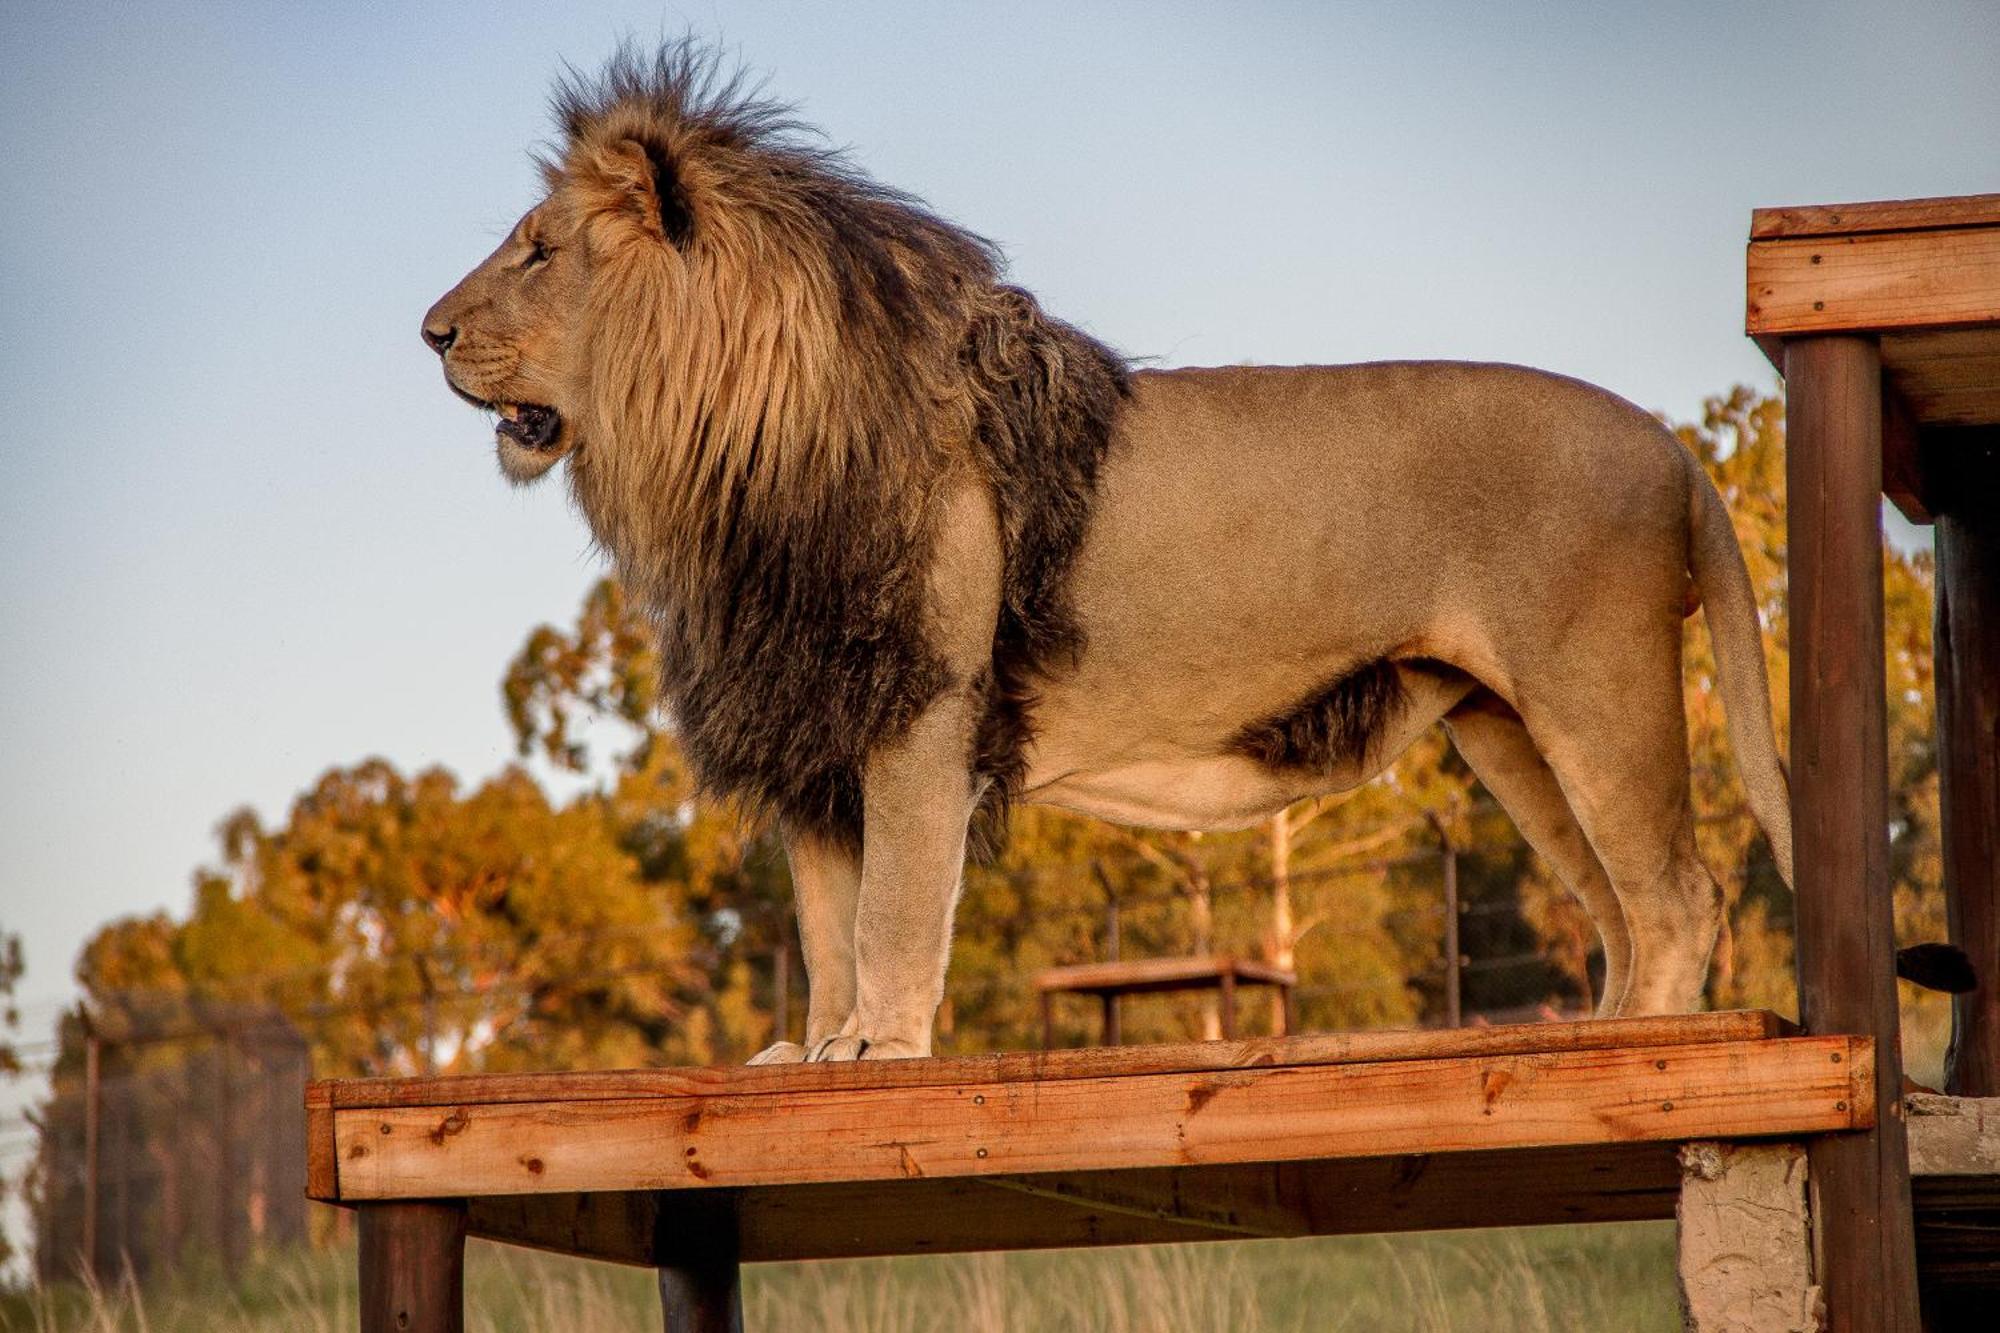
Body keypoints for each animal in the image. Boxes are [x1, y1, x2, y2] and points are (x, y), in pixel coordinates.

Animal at [418, 44, 1936, 1056]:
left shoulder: (919, 711)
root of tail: (1673, 442)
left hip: (1595, 692)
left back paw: (1637, 1053)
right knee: (1620, 906)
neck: (723, 463)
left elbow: (894, 909)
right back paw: (1593, 1036)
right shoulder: (816, 716)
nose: (426, 330)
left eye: (538, 250)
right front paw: (820, 1052)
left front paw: (882, 1052)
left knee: (1676, 894)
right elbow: (823, 918)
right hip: (1507, 730)